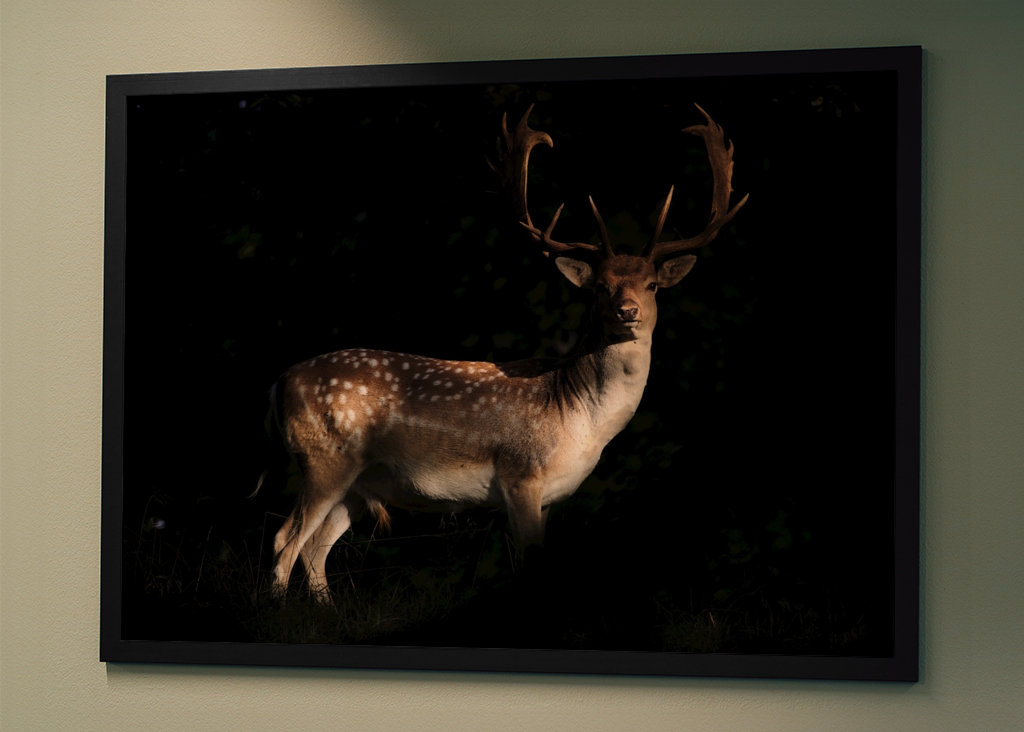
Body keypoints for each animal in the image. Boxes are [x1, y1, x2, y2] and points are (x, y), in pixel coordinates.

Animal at [262, 104, 747, 600]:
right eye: (600, 287)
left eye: (651, 285)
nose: (627, 310)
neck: (579, 419)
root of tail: (280, 382)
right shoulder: (521, 476)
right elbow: (528, 564)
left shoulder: (551, 496)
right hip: (323, 459)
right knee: (285, 539)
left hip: (359, 485)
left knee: (315, 548)